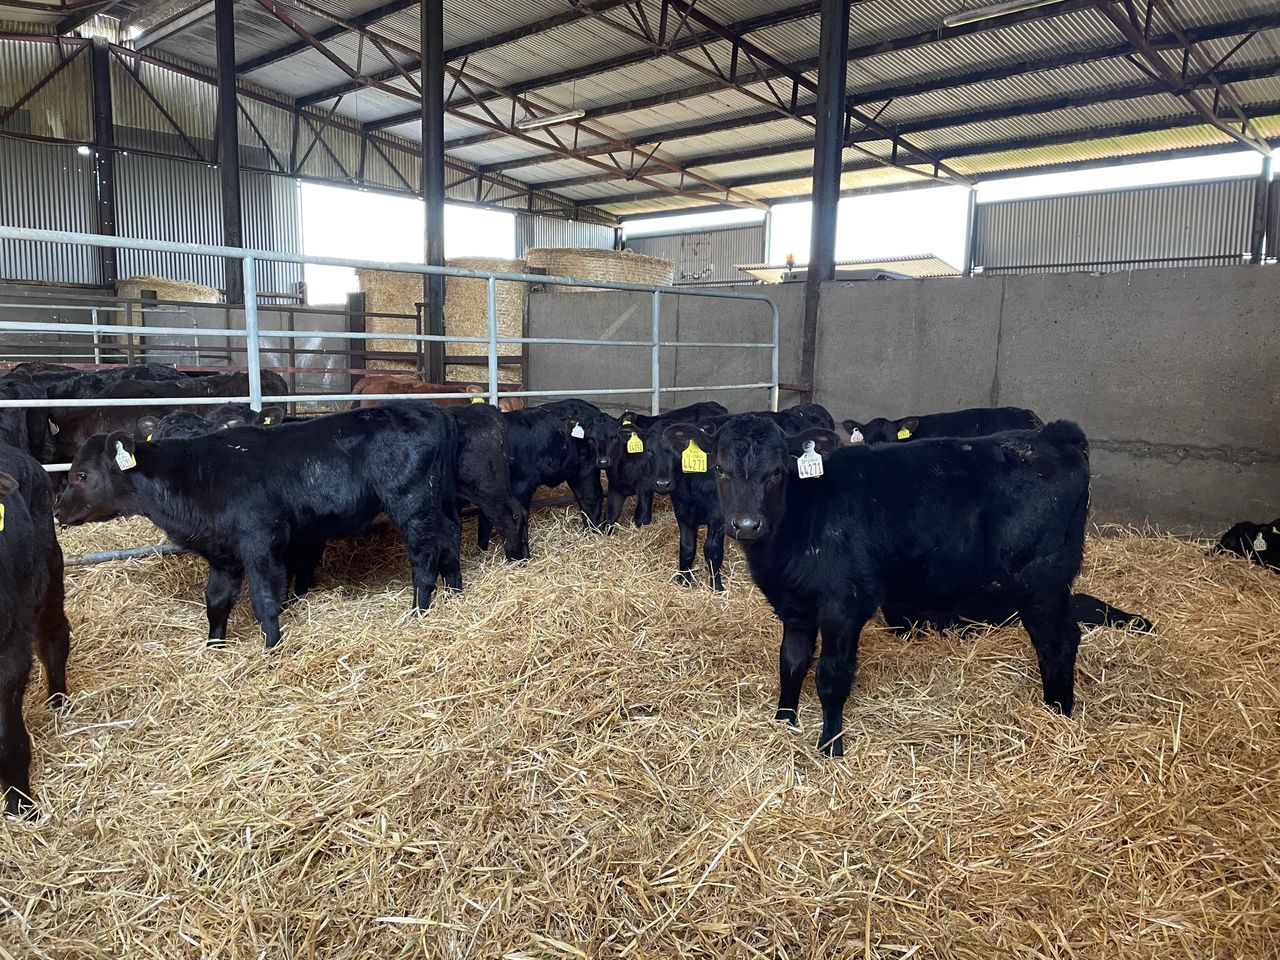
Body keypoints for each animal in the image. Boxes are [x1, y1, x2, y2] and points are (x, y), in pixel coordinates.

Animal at [55, 401, 460, 651]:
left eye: (81, 474)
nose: (58, 510)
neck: (196, 476)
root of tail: (426, 410)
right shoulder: (223, 555)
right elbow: (216, 601)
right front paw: (214, 647)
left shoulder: (262, 541)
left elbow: (265, 599)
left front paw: (271, 648)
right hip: (438, 502)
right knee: (449, 536)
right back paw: (453, 591)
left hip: (412, 502)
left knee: (424, 553)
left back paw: (419, 609)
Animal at [604, 402, 728, 532]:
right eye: (648, 450)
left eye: (614, 437)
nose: (663, 484)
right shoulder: (615, 486)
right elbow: (610, 516)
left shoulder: (645, 485)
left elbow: (641, 517)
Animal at [673, 414, 1090, 757]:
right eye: (721, 470)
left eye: (776, 471)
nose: (746, 525)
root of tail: (1052, 435)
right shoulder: (794, 605)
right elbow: (791, 663)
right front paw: (783, 721)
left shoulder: (844, 603)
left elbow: (831, 675)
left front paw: (830, 746)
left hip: (1042, 581)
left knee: (1058, 642)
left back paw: (1058, 714)